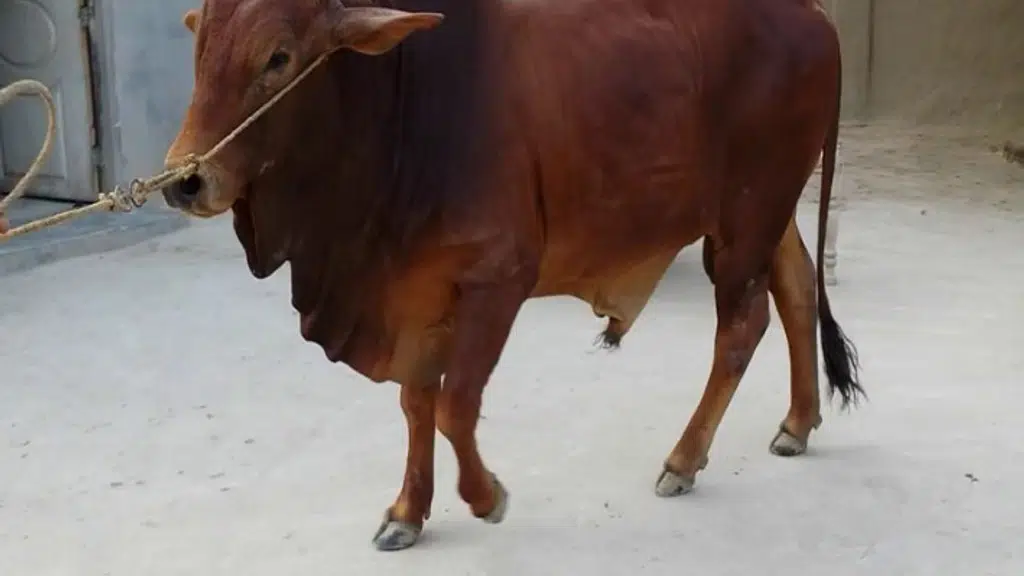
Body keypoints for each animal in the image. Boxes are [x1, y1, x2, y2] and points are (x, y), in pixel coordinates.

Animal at [162, 0, 864, 551]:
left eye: (278, 57)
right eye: (198, 52)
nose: (183, 181)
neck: (402, 105)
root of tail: (814, 14)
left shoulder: (498, 277)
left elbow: (455, 406)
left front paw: (487, 497)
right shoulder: (414, 290)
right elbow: (416, 403)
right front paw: (407, 512)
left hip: (748, 215)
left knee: (742, 329)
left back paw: (684, 460)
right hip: (764, 212)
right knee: (798, 289)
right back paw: (798, 423)